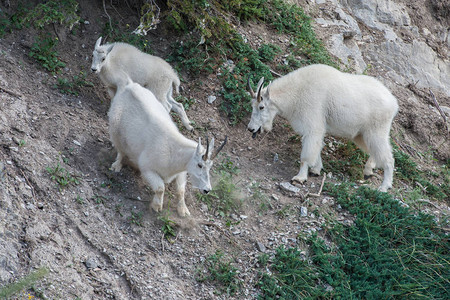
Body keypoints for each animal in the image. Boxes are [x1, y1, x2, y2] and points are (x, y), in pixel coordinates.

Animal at [108, 77, 227, 217]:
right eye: (199, 165)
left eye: (210, 166)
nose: (207, 190)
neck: (174, 153)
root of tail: (129, 86)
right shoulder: (147, 168)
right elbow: (160, 188)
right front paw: (156, 207)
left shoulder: (182, 171)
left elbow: (180, 190)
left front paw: (183, 211)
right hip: (115, 125)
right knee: (120, 149)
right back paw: (116, 166)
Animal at [248, 63, 400, 192]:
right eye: (252, 106)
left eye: (261, 107)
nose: (251, 129)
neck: (297, 91)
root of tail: (394, 103)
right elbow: (318, 147)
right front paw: (316, 170)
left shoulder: (312, 125)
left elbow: (307, 154)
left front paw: (300, 178)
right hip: (361, 134)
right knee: (373, 151)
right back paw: (368, 171)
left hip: (377, 130)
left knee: (388, 158)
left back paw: (384, 186)